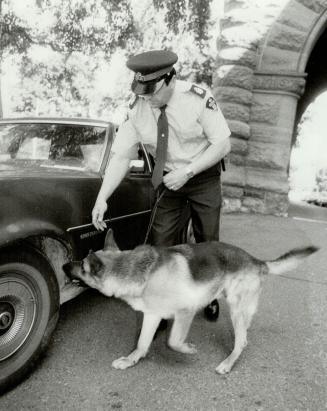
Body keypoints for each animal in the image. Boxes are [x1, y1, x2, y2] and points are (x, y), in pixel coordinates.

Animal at [63, 230, 318, 374]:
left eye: (82, 266)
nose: (64, 265)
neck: (136, 269)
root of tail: (257, 261)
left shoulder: (186, 311)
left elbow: (173, 341)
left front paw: (187, 349)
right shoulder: (152, 315)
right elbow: (143, 343)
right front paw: (131, 360)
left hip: (235, 309)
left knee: (242, 341)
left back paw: (228, 362)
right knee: (245, 332)